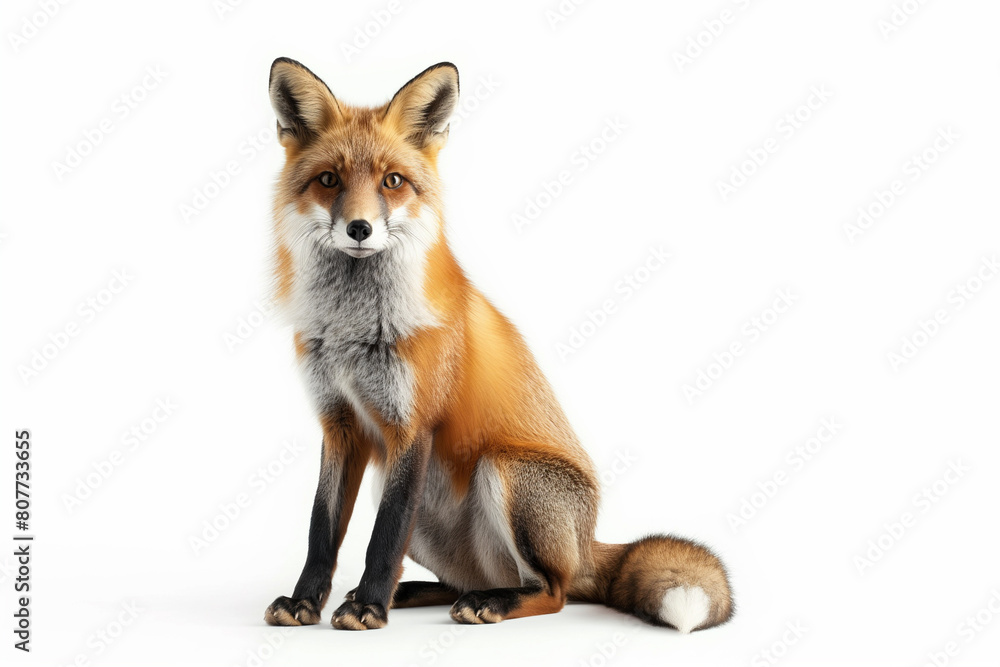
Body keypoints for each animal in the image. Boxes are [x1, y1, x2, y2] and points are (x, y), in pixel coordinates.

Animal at [263, 58, 734, 632]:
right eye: (328, 180)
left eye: (392, 181)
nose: (359, 228)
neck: (354, 330)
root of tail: (587, 543)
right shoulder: (339, 425)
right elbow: (321, 529)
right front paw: (306, 601)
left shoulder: (412, 425)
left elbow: (383, 537)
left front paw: (369, 607)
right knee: (461, 581)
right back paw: (421, 592)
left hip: (505, 471)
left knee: (553, 592)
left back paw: (490, 602)